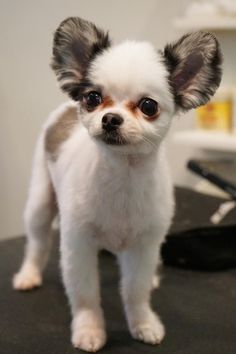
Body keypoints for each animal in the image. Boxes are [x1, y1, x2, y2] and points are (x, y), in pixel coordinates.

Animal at [13, 17, 221, 354]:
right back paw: (28, 275)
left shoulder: (144, 245)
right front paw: (89, 329)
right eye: (93, 99)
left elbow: (135, 291)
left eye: (148, 106)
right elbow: (85, 295)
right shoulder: (78, 245)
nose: (110, 118)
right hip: (40, 202)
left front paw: (143, 323)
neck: (124, 176)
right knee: (37, 242)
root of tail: (64, 108)